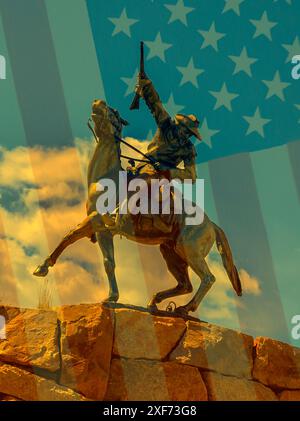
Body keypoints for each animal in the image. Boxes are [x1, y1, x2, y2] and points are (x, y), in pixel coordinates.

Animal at [34, 99, 243, 316]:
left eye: (114, 113)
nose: (98, 102)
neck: (108, 180)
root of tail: (212, 225)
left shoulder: (99, 225)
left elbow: (107, 261)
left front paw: (111, 297)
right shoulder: (95, 224)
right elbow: (70, 237)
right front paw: (42, 267)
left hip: (189, 250)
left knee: (208, 278)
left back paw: (185, 308)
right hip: (171, 251)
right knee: (185, 285)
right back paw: (156, 302)